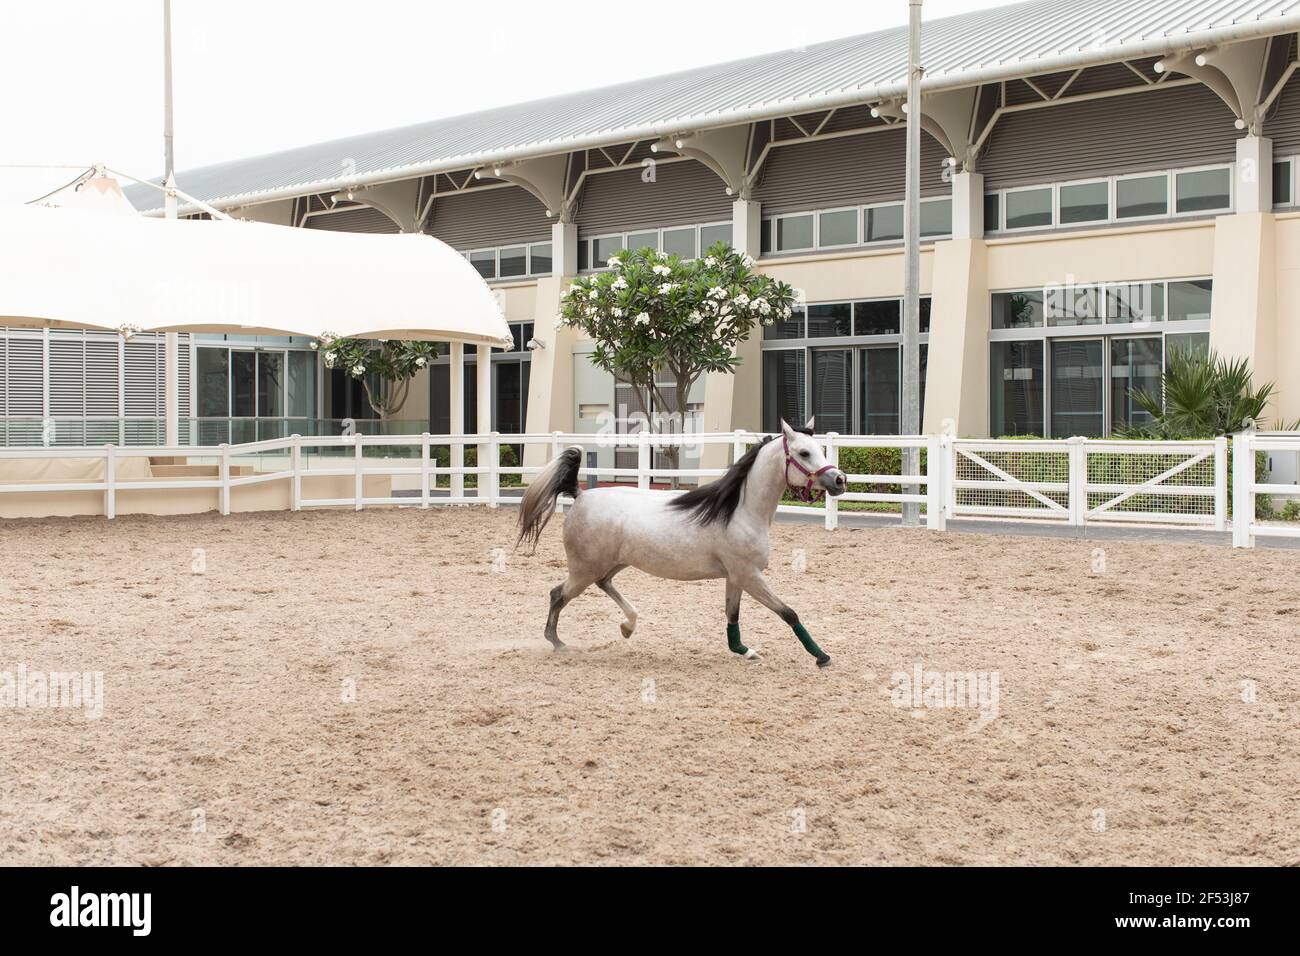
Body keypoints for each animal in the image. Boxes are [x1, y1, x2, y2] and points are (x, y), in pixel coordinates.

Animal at [515, 418, 847, 667]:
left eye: (820, 449)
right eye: (804, 453)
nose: (840, 480)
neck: (740, 511)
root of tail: (580, 494)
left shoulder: (736, 577)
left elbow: (733, 616)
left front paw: (745, 651)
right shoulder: (749, 576)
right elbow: (788, 612)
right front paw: (821, 656)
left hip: (612, 564)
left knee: (602, 585)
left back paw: (627, 626)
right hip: (584, 569)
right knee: (558, 594)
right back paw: (557, 642)